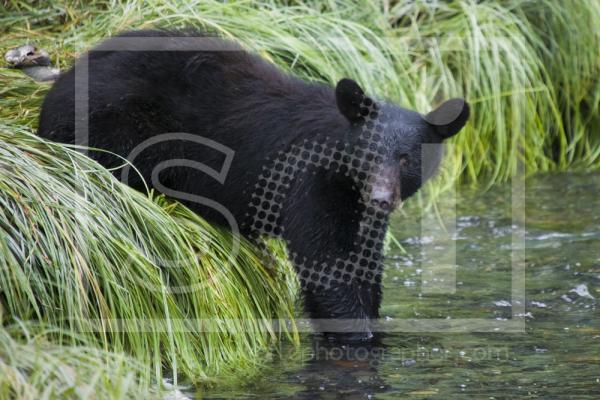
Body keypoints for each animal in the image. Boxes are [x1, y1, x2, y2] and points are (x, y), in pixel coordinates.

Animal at [37, 28, 472, 340]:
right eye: (368, 154)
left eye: (406, 159)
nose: (381, 198)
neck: (343, 175)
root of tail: (56, 90)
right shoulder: (308, 184)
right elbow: (326, 266)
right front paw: (358, 336)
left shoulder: (360, 212)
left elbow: (363, 266)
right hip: (113, 122)